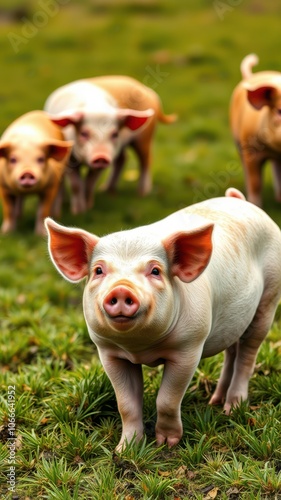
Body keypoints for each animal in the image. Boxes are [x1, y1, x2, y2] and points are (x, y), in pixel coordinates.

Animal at [43, 188, 280, 454]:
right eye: (98, 271)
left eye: (155, 271)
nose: (122, 289)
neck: (140, 348)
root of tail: (241, 201)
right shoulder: (108, 352)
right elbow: (126, 404)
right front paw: (125, 450)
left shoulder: (189, 348)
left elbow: (167, 399)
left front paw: (166, 444)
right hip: (235, 318)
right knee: (233, 350)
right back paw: (215, 401)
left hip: (270, 297)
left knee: (248, 352)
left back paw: (232, 409)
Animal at [231, 53, 281, 205]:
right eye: (279, 111)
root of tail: (251, 76)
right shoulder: (251, 151)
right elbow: (256, 182)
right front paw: (255, 204)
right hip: (238, 143)